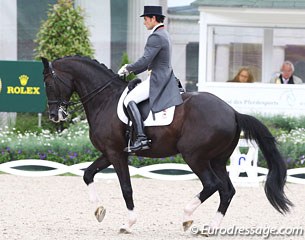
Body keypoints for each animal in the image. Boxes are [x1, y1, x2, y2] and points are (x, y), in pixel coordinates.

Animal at [40, 55, 290, 234]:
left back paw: (187, 217)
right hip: (217, 160)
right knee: (227, 190)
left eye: (49, 83)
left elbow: (126, 188)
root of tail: (234, 112)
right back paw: (210, 228)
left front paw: (128, 224)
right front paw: (99, 210)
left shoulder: (116, 153)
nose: (54, 115)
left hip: (195, 156)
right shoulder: (110, 152)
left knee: (212, 185)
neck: (105, 100)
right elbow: (87, 175)